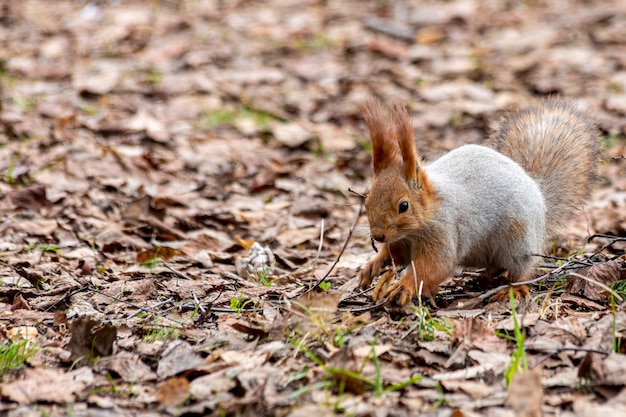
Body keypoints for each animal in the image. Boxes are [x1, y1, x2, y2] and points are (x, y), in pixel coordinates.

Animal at [354, 97, 596, 306]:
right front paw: (372, 265)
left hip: (519, 241)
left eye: (403, 206)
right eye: (367, 201)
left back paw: (513, 288)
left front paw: (403, 288)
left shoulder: (443, 230)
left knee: (522, 271)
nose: (377, 235)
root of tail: (538, 192)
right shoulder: (401, 241)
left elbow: (434, 267)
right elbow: (397, 257)